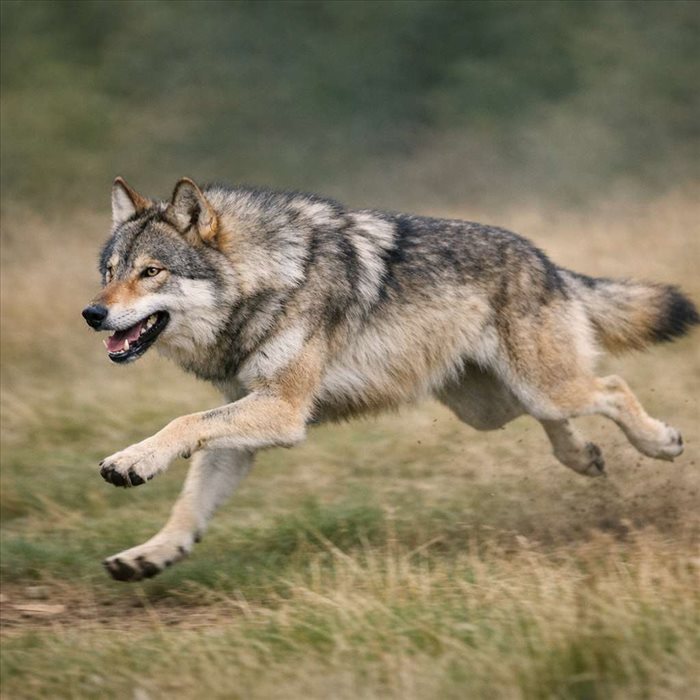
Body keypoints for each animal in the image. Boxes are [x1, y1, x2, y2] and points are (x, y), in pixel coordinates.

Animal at [82, 177, 698, 581]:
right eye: (109, 272)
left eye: (151, 272)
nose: (92, 314)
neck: (270, 278)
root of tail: (546, 261)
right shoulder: (246, 424)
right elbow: (190, 503)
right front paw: (150, 554)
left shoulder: (282, 411)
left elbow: (181, 422)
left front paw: (131, 461)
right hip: (491, 408)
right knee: (562, 420)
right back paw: (586, 457)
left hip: (541, 385)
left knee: (612, 387)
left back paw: (661, 442)